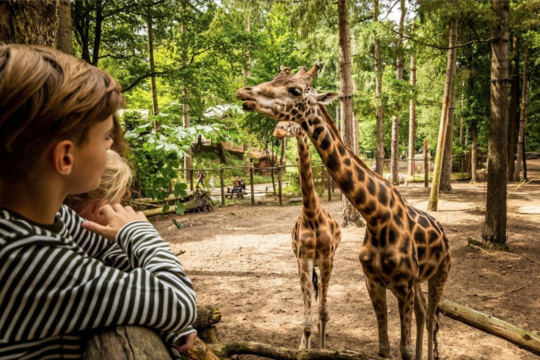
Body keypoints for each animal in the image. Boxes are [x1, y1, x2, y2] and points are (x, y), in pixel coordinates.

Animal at [272, 120, 340, 348]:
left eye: (292, 122)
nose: (278, 130)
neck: (312, 214)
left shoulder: (327, 259)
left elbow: (324, 313)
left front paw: (323, 348)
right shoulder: (304, 259)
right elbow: (307, 323)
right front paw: (305, 348)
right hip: (302, 264)